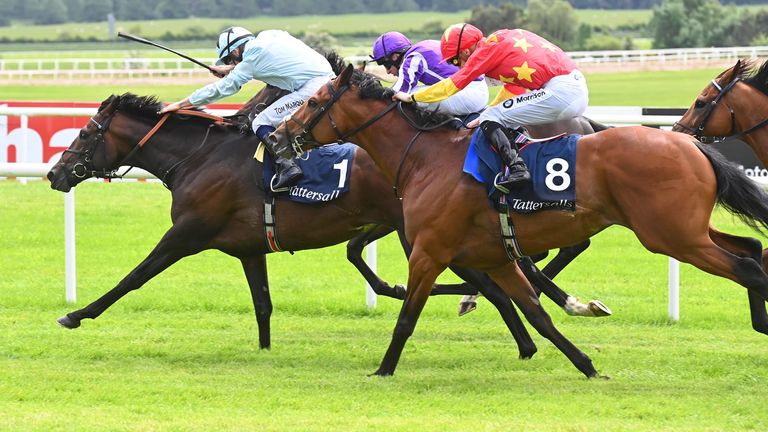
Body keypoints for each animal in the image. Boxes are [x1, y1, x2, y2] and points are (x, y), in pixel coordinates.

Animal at [268, 62, 768, 376]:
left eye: (313, 102)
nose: (276, 137)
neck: (425, 156)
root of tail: (689, 145)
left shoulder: (429, 250)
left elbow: (408, 316)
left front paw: (384, 369)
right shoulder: (494, 255)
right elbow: (537, 313)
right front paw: (587, 365)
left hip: (671, 236)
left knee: (746, 267)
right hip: (687, 229)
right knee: (751, 250)